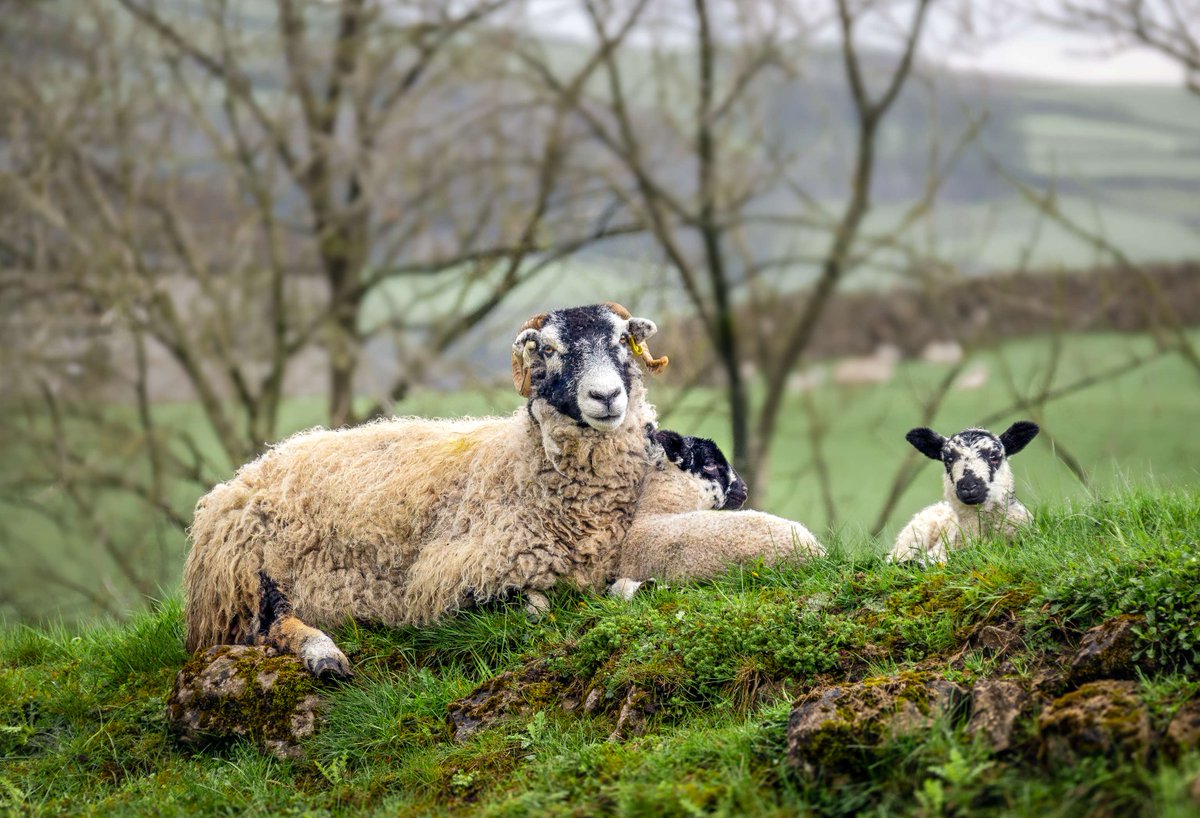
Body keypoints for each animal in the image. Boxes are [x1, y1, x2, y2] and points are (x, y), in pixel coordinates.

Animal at [184, 301, 825, 676]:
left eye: (622, 341)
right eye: (551, 350)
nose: (606, 397)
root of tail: (246, 473)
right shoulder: (449, 579)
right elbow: (538, 609)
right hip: (250, 581)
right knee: (267, 630)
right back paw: (326, 654)